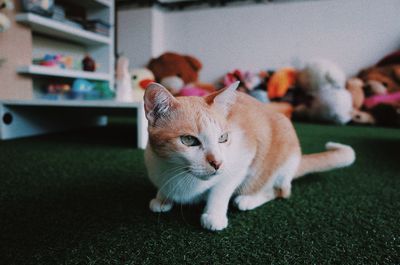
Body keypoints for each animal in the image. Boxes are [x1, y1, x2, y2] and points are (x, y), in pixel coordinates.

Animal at [144, 81, 356, 230]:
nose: (217, 163)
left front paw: (214, 215)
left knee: (281, 191)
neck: (178, 173)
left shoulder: (243, 159)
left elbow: (221, 189)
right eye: (188, 140)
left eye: (223, 138)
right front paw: (162, 198)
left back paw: (248, 199)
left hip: (282, 159)